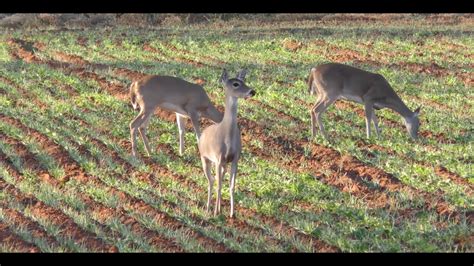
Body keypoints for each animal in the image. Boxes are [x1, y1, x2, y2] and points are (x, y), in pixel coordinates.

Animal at [197, 69, 256, 218]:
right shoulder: (218, 158)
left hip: (222, 164)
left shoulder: (234, 159)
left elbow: (231, 186)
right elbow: (218, 185)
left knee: (218, 179)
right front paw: (215, 212)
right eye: (235, 84)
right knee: (211, 181)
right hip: (205, 158)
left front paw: (232, 213)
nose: (252, 91)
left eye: (244, 80)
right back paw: (208, 208)